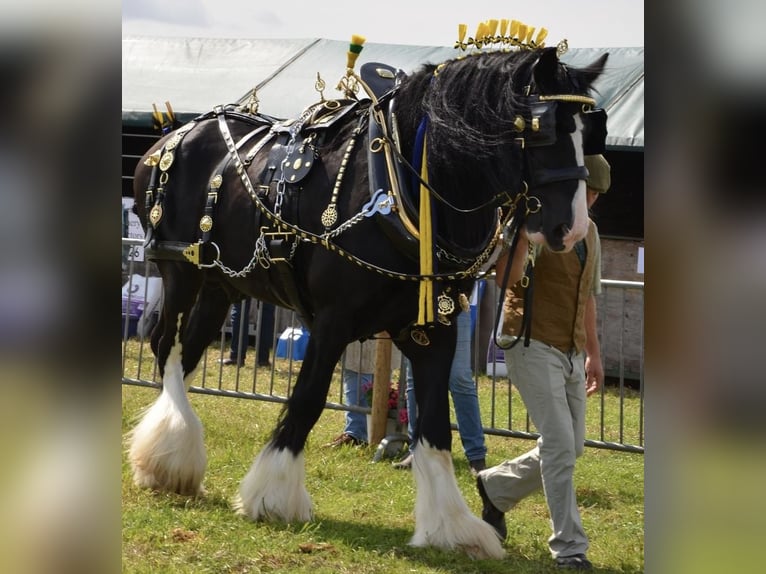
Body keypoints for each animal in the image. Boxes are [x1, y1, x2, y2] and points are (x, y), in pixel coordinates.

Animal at [127, 45, 608, 560]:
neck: (403, 186)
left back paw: (171, 459)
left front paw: (451, 526)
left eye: (590, 130)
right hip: (180, 270)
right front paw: (273, 494)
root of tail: (171, 134)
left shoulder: (432, 329)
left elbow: (435, 424)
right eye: (544, 128)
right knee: (166, 346)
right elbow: (307, 400)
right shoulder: (332, 321)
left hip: (221, 286)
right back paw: (167, 453)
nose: (572, 229)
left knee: (187, 352)